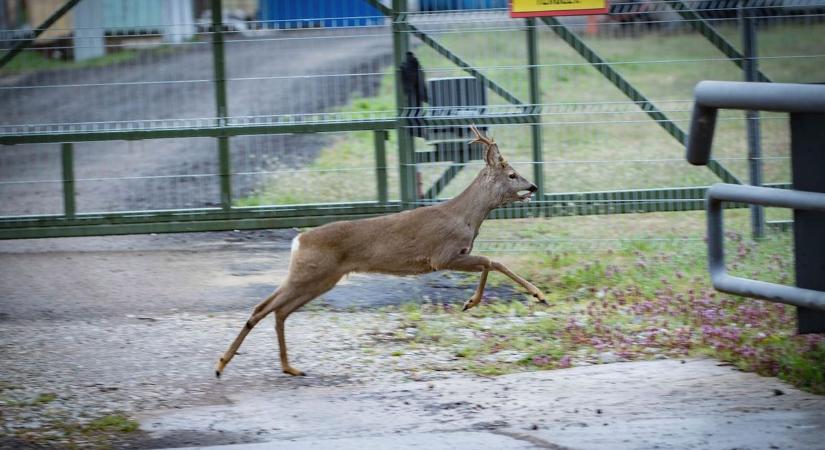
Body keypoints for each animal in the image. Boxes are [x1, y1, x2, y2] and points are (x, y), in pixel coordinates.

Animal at [216, 125, 544, 376]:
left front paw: (473, 302)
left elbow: (489, 263)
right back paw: (222, 365)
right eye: (512, 174)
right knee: (264, 308)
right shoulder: (442, 255)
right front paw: (532, 295)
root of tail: (299, 240)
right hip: (310, 273)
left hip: (321, 278)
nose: (534, 187)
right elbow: (493, 261)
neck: (466, 217)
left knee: (278, 310)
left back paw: (288, 368)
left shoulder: (451, 256)